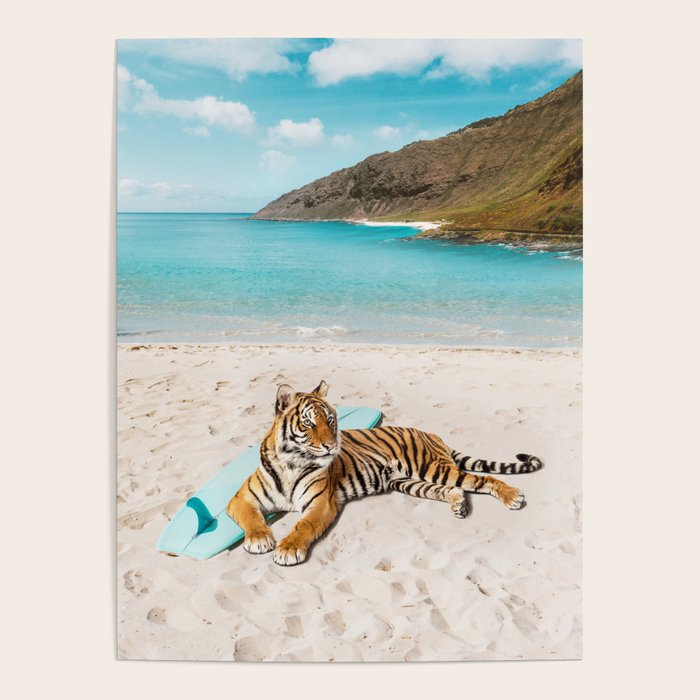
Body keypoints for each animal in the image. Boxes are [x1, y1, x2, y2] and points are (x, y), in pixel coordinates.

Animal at [226, 380, 543, 566]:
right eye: (308, 423)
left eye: (331, 419)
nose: (332, 445)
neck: (292, 462)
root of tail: (432, 434)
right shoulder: (241, 499)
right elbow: (252, 518)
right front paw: (259, 539)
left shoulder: (320, 503)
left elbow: (303, 525)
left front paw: (288, 548)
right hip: (409, 482)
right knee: (453, 489)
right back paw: (459, 506)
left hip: (433, 468)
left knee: (482, 479)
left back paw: (512, 497)